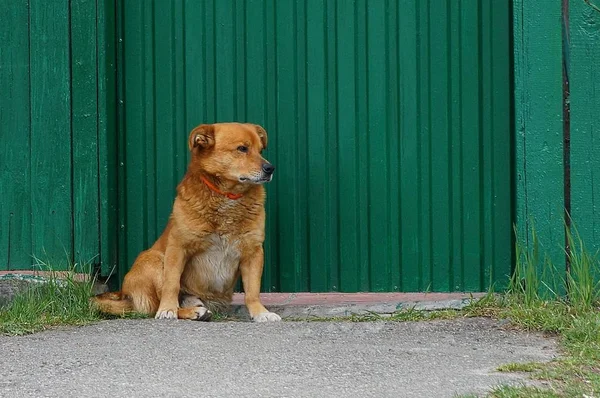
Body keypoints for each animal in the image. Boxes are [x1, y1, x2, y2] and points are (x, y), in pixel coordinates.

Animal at [94, 123, 282, 322]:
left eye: (260, 150)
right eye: (242, 149)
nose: (270, 168)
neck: (227, 197)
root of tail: (124, 294)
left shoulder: (253, 252)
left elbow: (252, 291)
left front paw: (260, 312)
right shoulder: (178, 247)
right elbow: (172, 284)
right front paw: (167, 309)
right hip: (153, 259)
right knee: (159, 303)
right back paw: (188, 312)